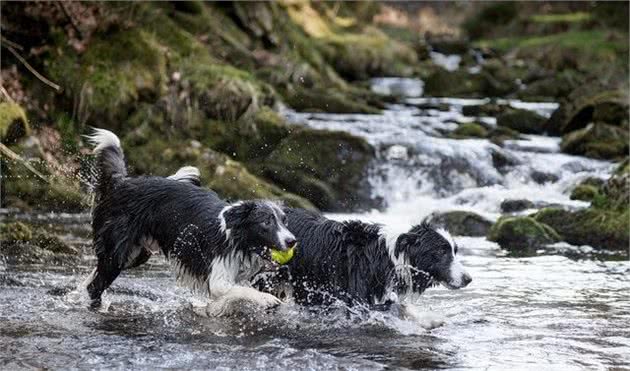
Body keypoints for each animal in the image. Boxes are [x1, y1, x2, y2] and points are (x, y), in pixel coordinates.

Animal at [84, 129, 298, 316]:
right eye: (266, 222)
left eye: (284, 221)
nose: (292, 241)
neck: (239, 240)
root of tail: (120, 183)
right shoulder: (218, 279)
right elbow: (241, 291)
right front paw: (266, 299)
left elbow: (229, 297)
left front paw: (213, 309)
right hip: (118, 252)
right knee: (94, 287)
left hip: (136, 254)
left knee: (94, 277)